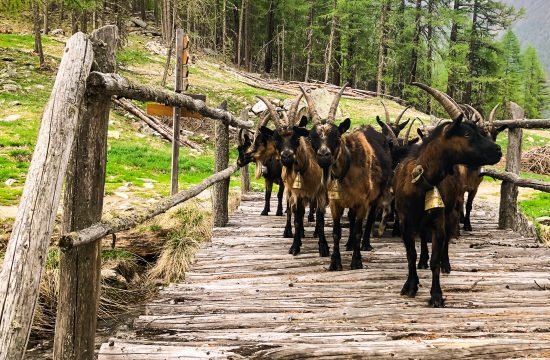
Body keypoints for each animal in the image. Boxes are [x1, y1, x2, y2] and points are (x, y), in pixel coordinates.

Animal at [258, 93, 330, 256]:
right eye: (276, 139)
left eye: (296, 138)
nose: (287, 157)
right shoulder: (296, 193)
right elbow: (297, 216)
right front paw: (295, 246)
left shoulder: (320, 192)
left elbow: (320, 218)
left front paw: (323, 246)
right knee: (291, 209)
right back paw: (290, 231)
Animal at [300, 84, 394, 270]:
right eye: (312, 137)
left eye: (336, 136)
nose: (324, 155)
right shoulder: (335, 202)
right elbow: (336, 232)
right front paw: (335, 261)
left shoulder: (363, 202)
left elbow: (358, 230)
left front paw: (356, 261)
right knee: (350, 217)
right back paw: (349, 244)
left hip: (376, 195)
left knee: (369, 219)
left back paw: (365, 244)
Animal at [396, 83, 504, 308]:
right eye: (467, 134)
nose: (498, 150)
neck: (421, 183)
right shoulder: (405, 222)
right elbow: (411, 254)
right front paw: (410, 286)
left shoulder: (438, 220)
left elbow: (436, 257)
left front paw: (436, 295)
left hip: (450, 209)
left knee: (446, 238)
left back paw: (446, 264)